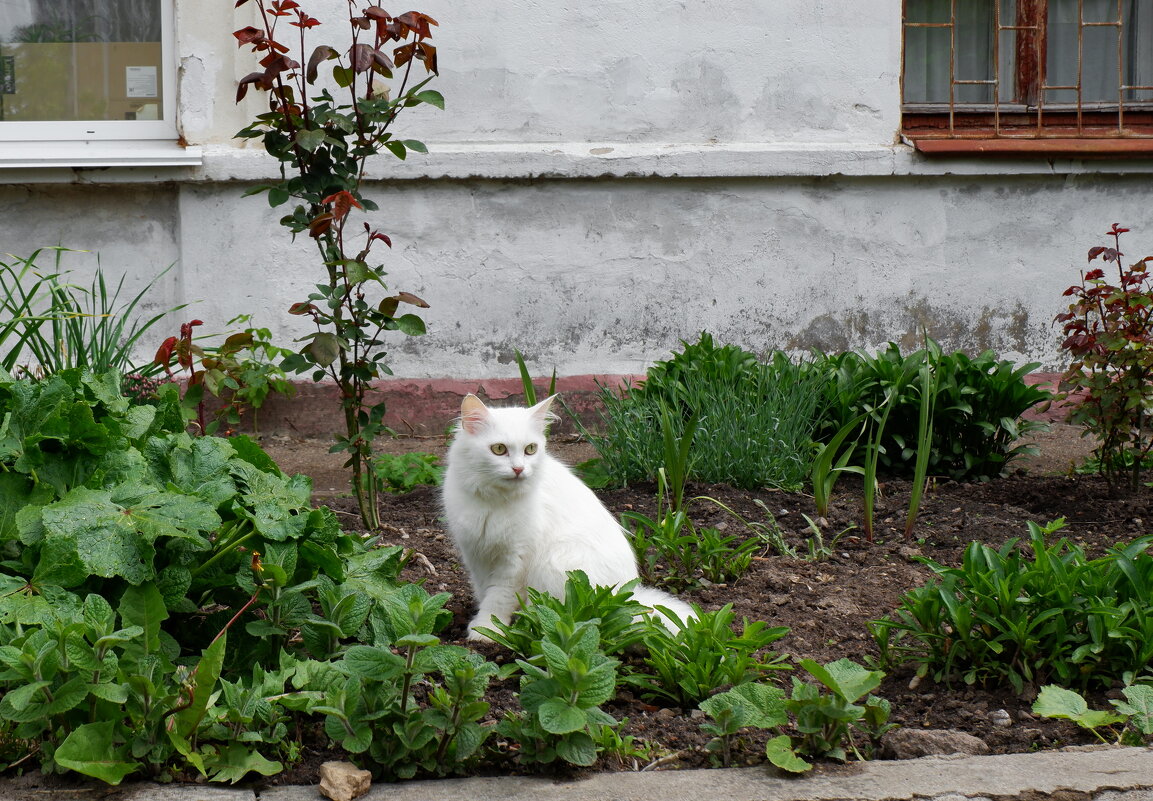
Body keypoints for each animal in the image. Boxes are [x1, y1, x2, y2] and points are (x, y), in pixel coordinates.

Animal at [440, 391, 691, 640]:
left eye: (530, 449)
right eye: (499, 449)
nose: (519, 469)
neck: (493, 501)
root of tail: (628, 597)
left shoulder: (514, 561)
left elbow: (498, 598)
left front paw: (488, 630)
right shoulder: (476, 554)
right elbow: (485, 591)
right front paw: (483, 624)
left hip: (557, 565)